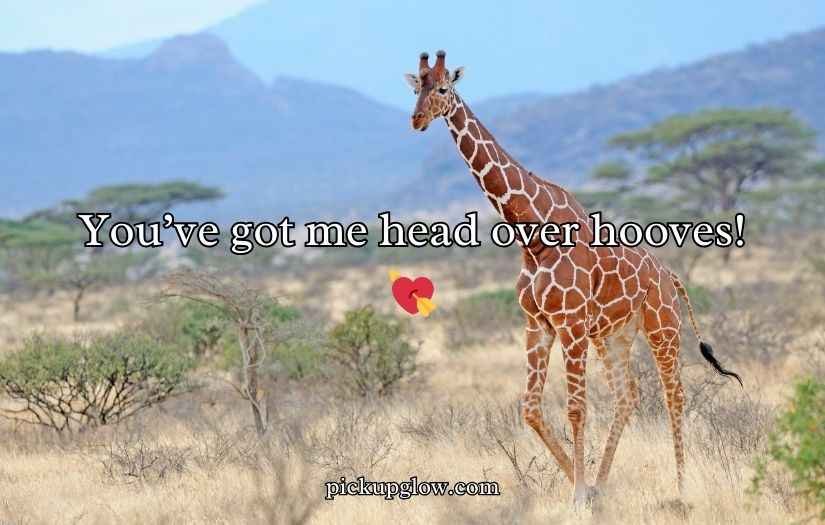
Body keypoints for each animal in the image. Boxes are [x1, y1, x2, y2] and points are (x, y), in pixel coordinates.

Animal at [405, 51, 742, 507]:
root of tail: (670, 274)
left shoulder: (570, 323)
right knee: (628, 394)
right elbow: (530, 408)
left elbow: (576, 409)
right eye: (416, 86)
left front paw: (579, 493)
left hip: (662, 327)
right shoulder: (538, 324)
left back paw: (681, 488)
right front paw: (584, 487)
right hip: (614, 335)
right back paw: (604, 482)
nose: (417, 119)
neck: (532, 235)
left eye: (442, 88)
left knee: (674, 394)